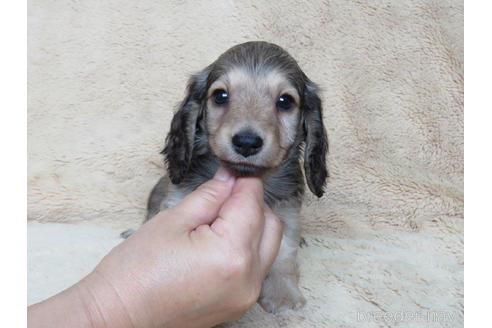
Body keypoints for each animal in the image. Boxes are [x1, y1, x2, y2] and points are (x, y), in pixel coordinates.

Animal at [125, 41, 328, 312]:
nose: (247, 142)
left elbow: (285, 253)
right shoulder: (177, 200)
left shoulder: (287, 213)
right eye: (220, 96)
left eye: (285, 101)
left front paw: (282, 293)